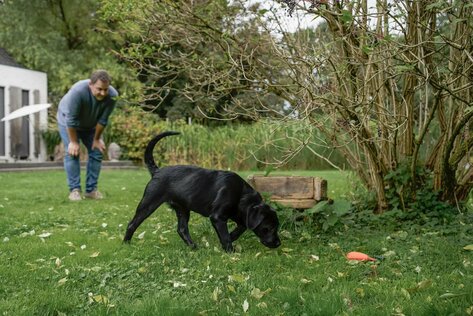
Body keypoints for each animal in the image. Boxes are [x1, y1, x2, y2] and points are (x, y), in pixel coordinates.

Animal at [122, 131, 280, 252]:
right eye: (270, 228)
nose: (279, 243)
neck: (241, 195)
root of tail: (157, 171)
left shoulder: (238, 215)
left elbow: (240, 228)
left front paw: (231, 238)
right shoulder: (217, 216)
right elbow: (225, 236)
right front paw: (230, 251)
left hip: (182, 209)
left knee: (182, 229)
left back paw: (193, 247)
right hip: (149, 203)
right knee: (132, 223)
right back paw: (126, 243)